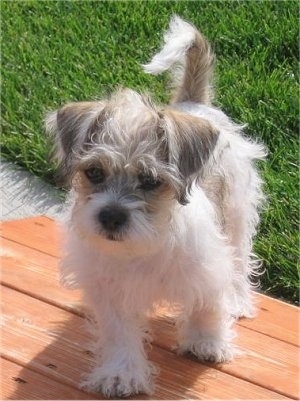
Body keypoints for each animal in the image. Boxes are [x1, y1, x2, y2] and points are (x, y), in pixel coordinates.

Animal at [44, 15, 264, 396]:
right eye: (94, 172)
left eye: (150, 180)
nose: (111, 215)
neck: (144, 247)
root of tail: (192, 103)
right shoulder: (110, 291)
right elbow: (119, 333)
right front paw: (122, 374)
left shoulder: (208, 267)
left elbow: (209, 305)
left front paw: (207, 342)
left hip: (237, 210)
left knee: (239, 257)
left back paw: (238, 299)